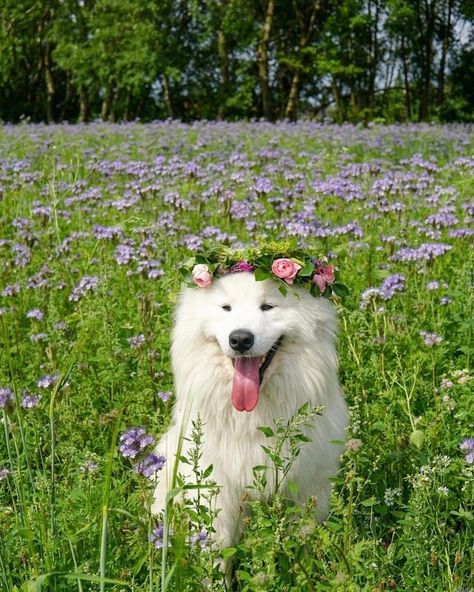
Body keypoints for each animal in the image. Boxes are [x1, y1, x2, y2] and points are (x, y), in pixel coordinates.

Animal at [153, 272, 348, 552]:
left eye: (268, 306)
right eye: (226, 308)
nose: (240, 339)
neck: (250, 419)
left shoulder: (308, 485)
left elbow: (303, 537)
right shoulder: (217, 486)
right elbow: (216, 544)